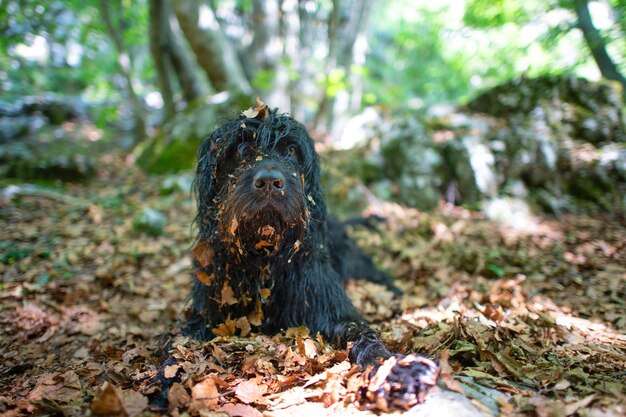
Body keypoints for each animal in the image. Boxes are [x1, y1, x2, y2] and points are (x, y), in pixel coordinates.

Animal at [180, 102, 436, 408]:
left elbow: (362, 334)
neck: (265, 258)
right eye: (241, 150)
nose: (270, 181)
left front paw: (395, 369)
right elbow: (177, 351)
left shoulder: (329, 307)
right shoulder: (205, 313)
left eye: (291, 150)